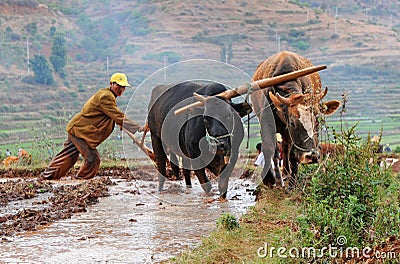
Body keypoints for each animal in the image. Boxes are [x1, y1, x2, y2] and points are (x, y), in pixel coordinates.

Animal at [250, 51, 340, 188]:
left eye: (317, 121)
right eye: (292, 123)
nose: (313, 156)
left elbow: (292, 155)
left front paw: (292, 181)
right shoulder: (266, 126)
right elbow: (271, 151)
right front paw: (273, 181)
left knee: (286, 147)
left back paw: (287, 173)